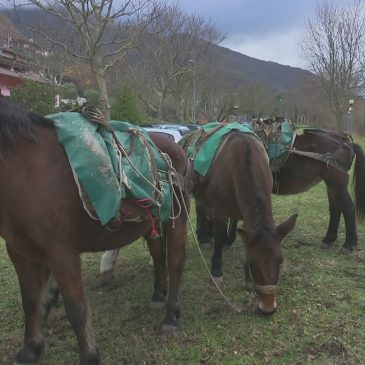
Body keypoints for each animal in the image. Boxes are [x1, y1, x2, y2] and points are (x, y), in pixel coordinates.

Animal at [0, 96, 188, 364]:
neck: (27, 172)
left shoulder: (62, 253)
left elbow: (76, 308)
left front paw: (89, 355)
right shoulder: (20, 251)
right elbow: (30, 300)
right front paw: (30, 350)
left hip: (177, 218)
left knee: (175, 261)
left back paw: (171, 316)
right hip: (150, 222)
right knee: (158, 255)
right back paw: (158, 296)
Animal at [196, 128, 364, 253]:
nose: (206, 236)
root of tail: (345, 142)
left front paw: (224, 239)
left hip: (336, 183)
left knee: (348, 209)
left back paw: (349, 244)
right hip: (332, 185)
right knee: (336, 209)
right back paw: (329, 239)